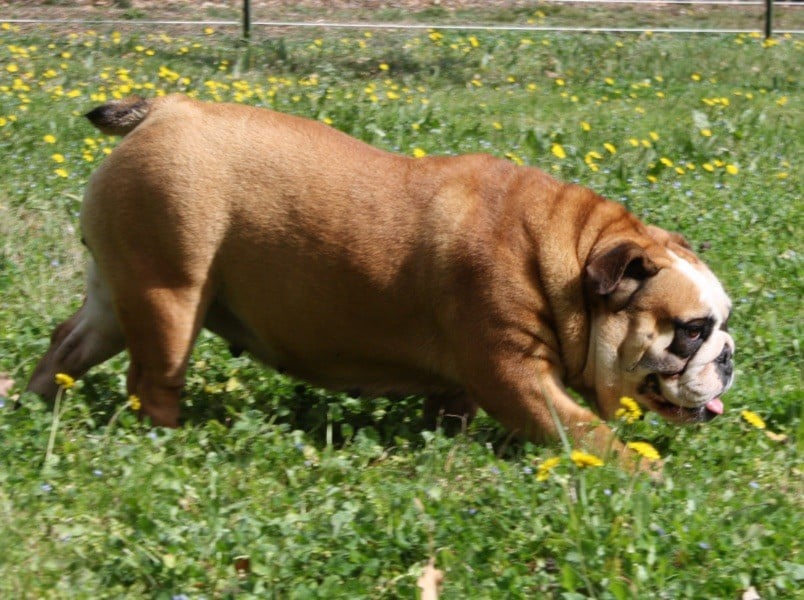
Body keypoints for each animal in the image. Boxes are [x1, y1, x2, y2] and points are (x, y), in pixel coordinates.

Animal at [27, 95, 735, 468]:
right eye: (692, 330)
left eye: (722, 326)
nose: (728, 357)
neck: (568, 251)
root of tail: (168, 107)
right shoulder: (514, 375)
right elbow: (581, 428)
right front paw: (638, 469)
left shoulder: (471, 381)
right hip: (169, 294)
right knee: (152, 380)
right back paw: (169, 442)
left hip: (116, 295)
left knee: (68, 343)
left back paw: (29, 402)